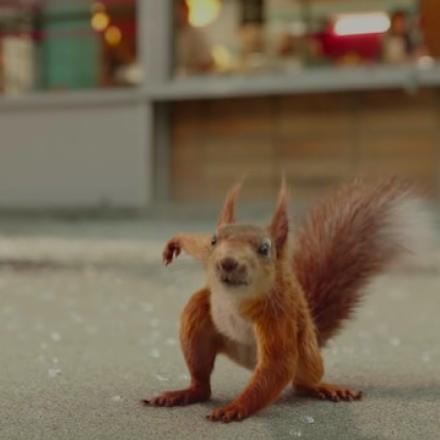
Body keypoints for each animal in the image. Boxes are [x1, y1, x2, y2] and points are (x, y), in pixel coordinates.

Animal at [146, 178, 428, 422]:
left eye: (264, 248)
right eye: (214, 240)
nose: (227, 262)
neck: (237, 298)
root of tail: (249, 363)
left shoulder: (276, 315)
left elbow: (278, 365)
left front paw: (236, 408)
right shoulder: (207, 255)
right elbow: (199, 245)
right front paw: (176, 241)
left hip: (306, 355)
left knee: (300, 380)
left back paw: (323, 387)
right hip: (201, 322)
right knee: (203, 381)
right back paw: (184, 393)